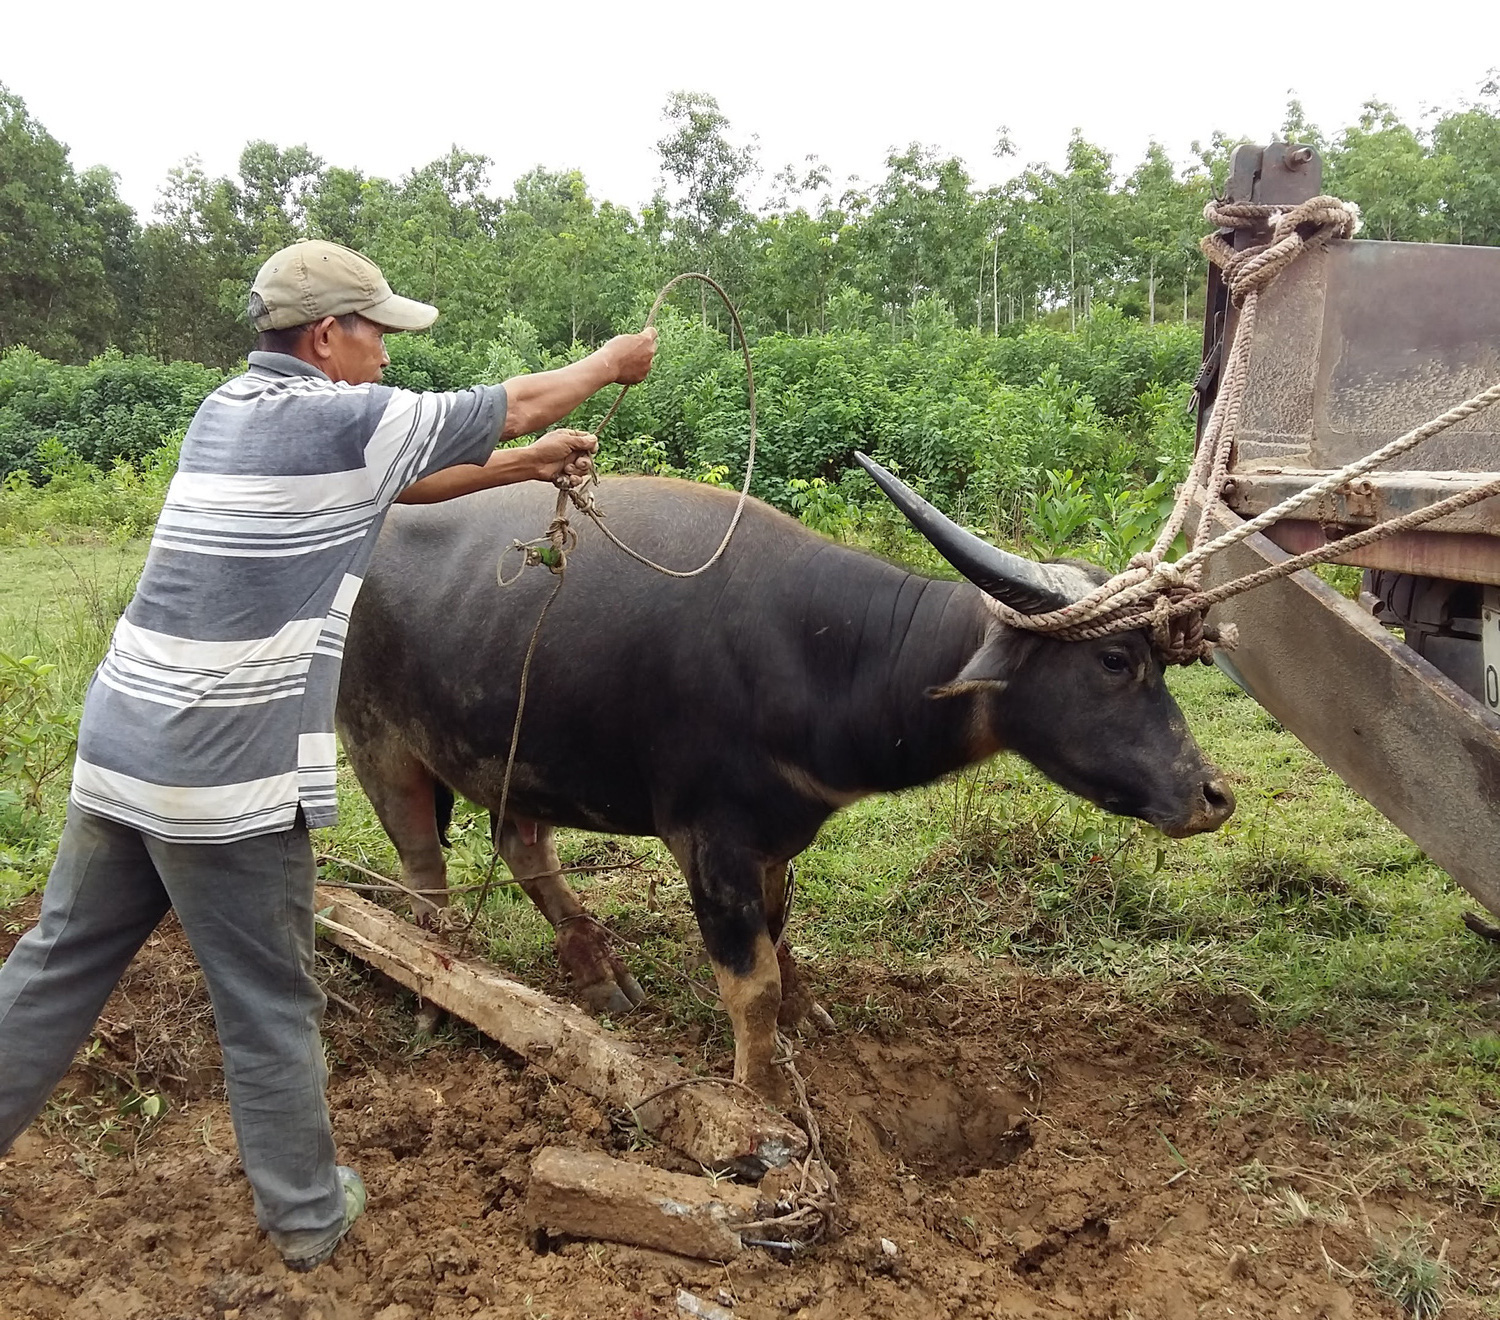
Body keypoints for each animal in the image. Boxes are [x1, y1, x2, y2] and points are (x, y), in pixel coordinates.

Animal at [340, 459, 1230, 1098]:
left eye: (1158, 659)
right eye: (1113, 660)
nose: (1211, 795)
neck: (823, 656)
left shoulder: (775, 837)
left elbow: (781, 939)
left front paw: (808, 1014)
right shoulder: (710, 843)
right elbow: (751, 981)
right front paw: (760, 1089)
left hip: (514, 755)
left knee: (522, 843)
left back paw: (598, 971)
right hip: (376, 745)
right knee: (424, 874)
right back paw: (436, 987)